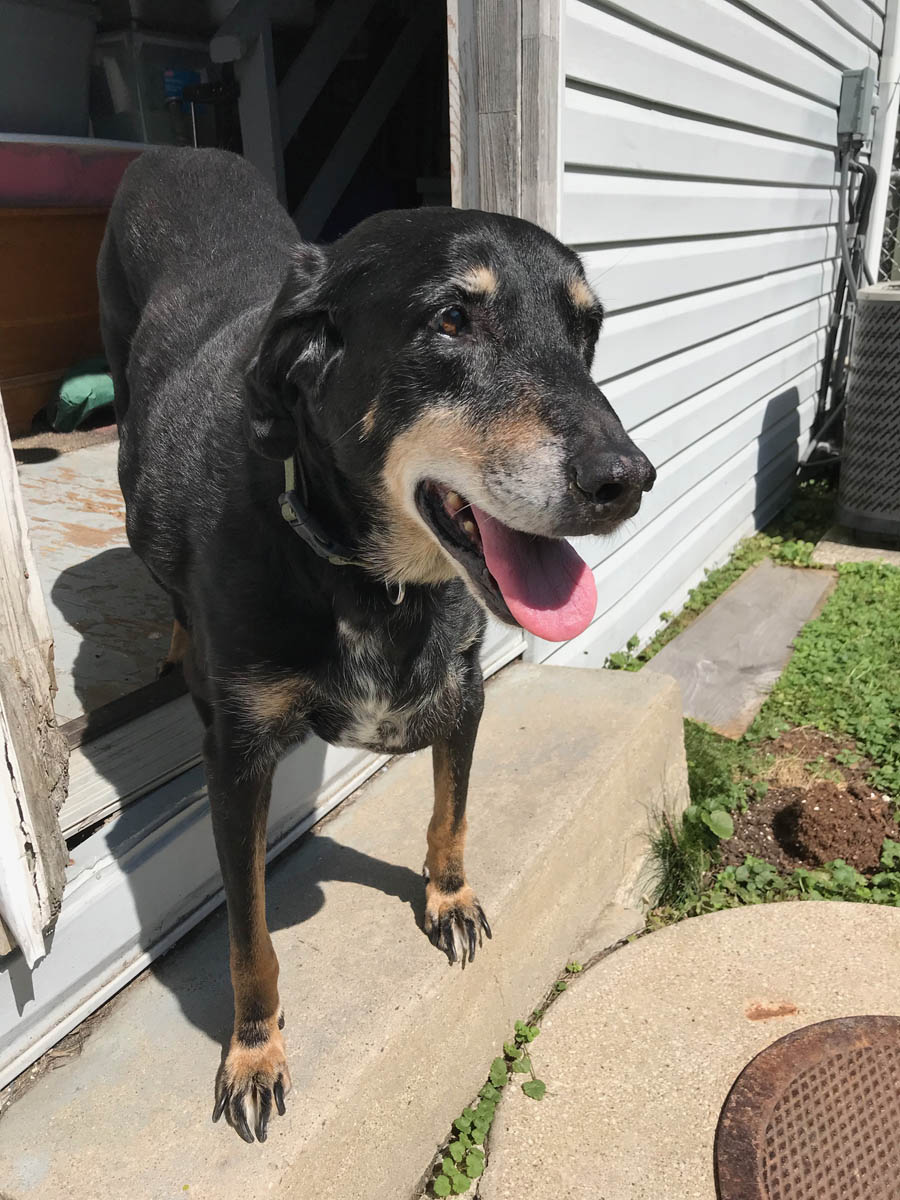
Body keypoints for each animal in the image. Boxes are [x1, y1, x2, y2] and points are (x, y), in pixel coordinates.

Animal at [97, 150, 657, 1142]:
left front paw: (449, 899)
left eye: (587, 330)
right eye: (451, 320)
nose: (627, 480)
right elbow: (249, 934)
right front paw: (254, 1052)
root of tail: (181, 151)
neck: (367, 577)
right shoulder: (235, 759)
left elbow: (452, 813)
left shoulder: (466, 689)